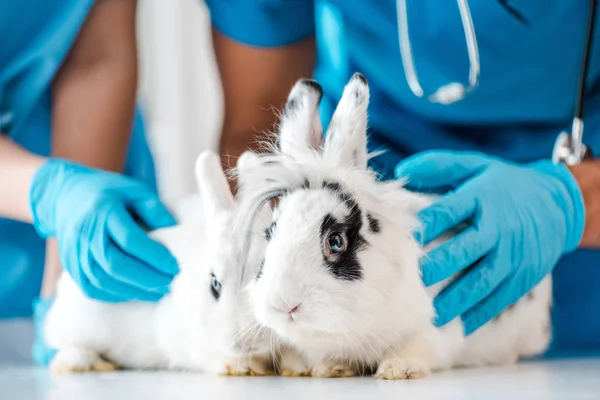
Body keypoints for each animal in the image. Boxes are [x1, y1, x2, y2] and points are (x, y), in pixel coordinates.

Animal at [232, 74, 552, 378]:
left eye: (335, 241)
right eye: (269, 235)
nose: (283, 304)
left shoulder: (436, 329)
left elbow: (417, 347)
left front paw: (398, 370)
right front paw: (330, 368)